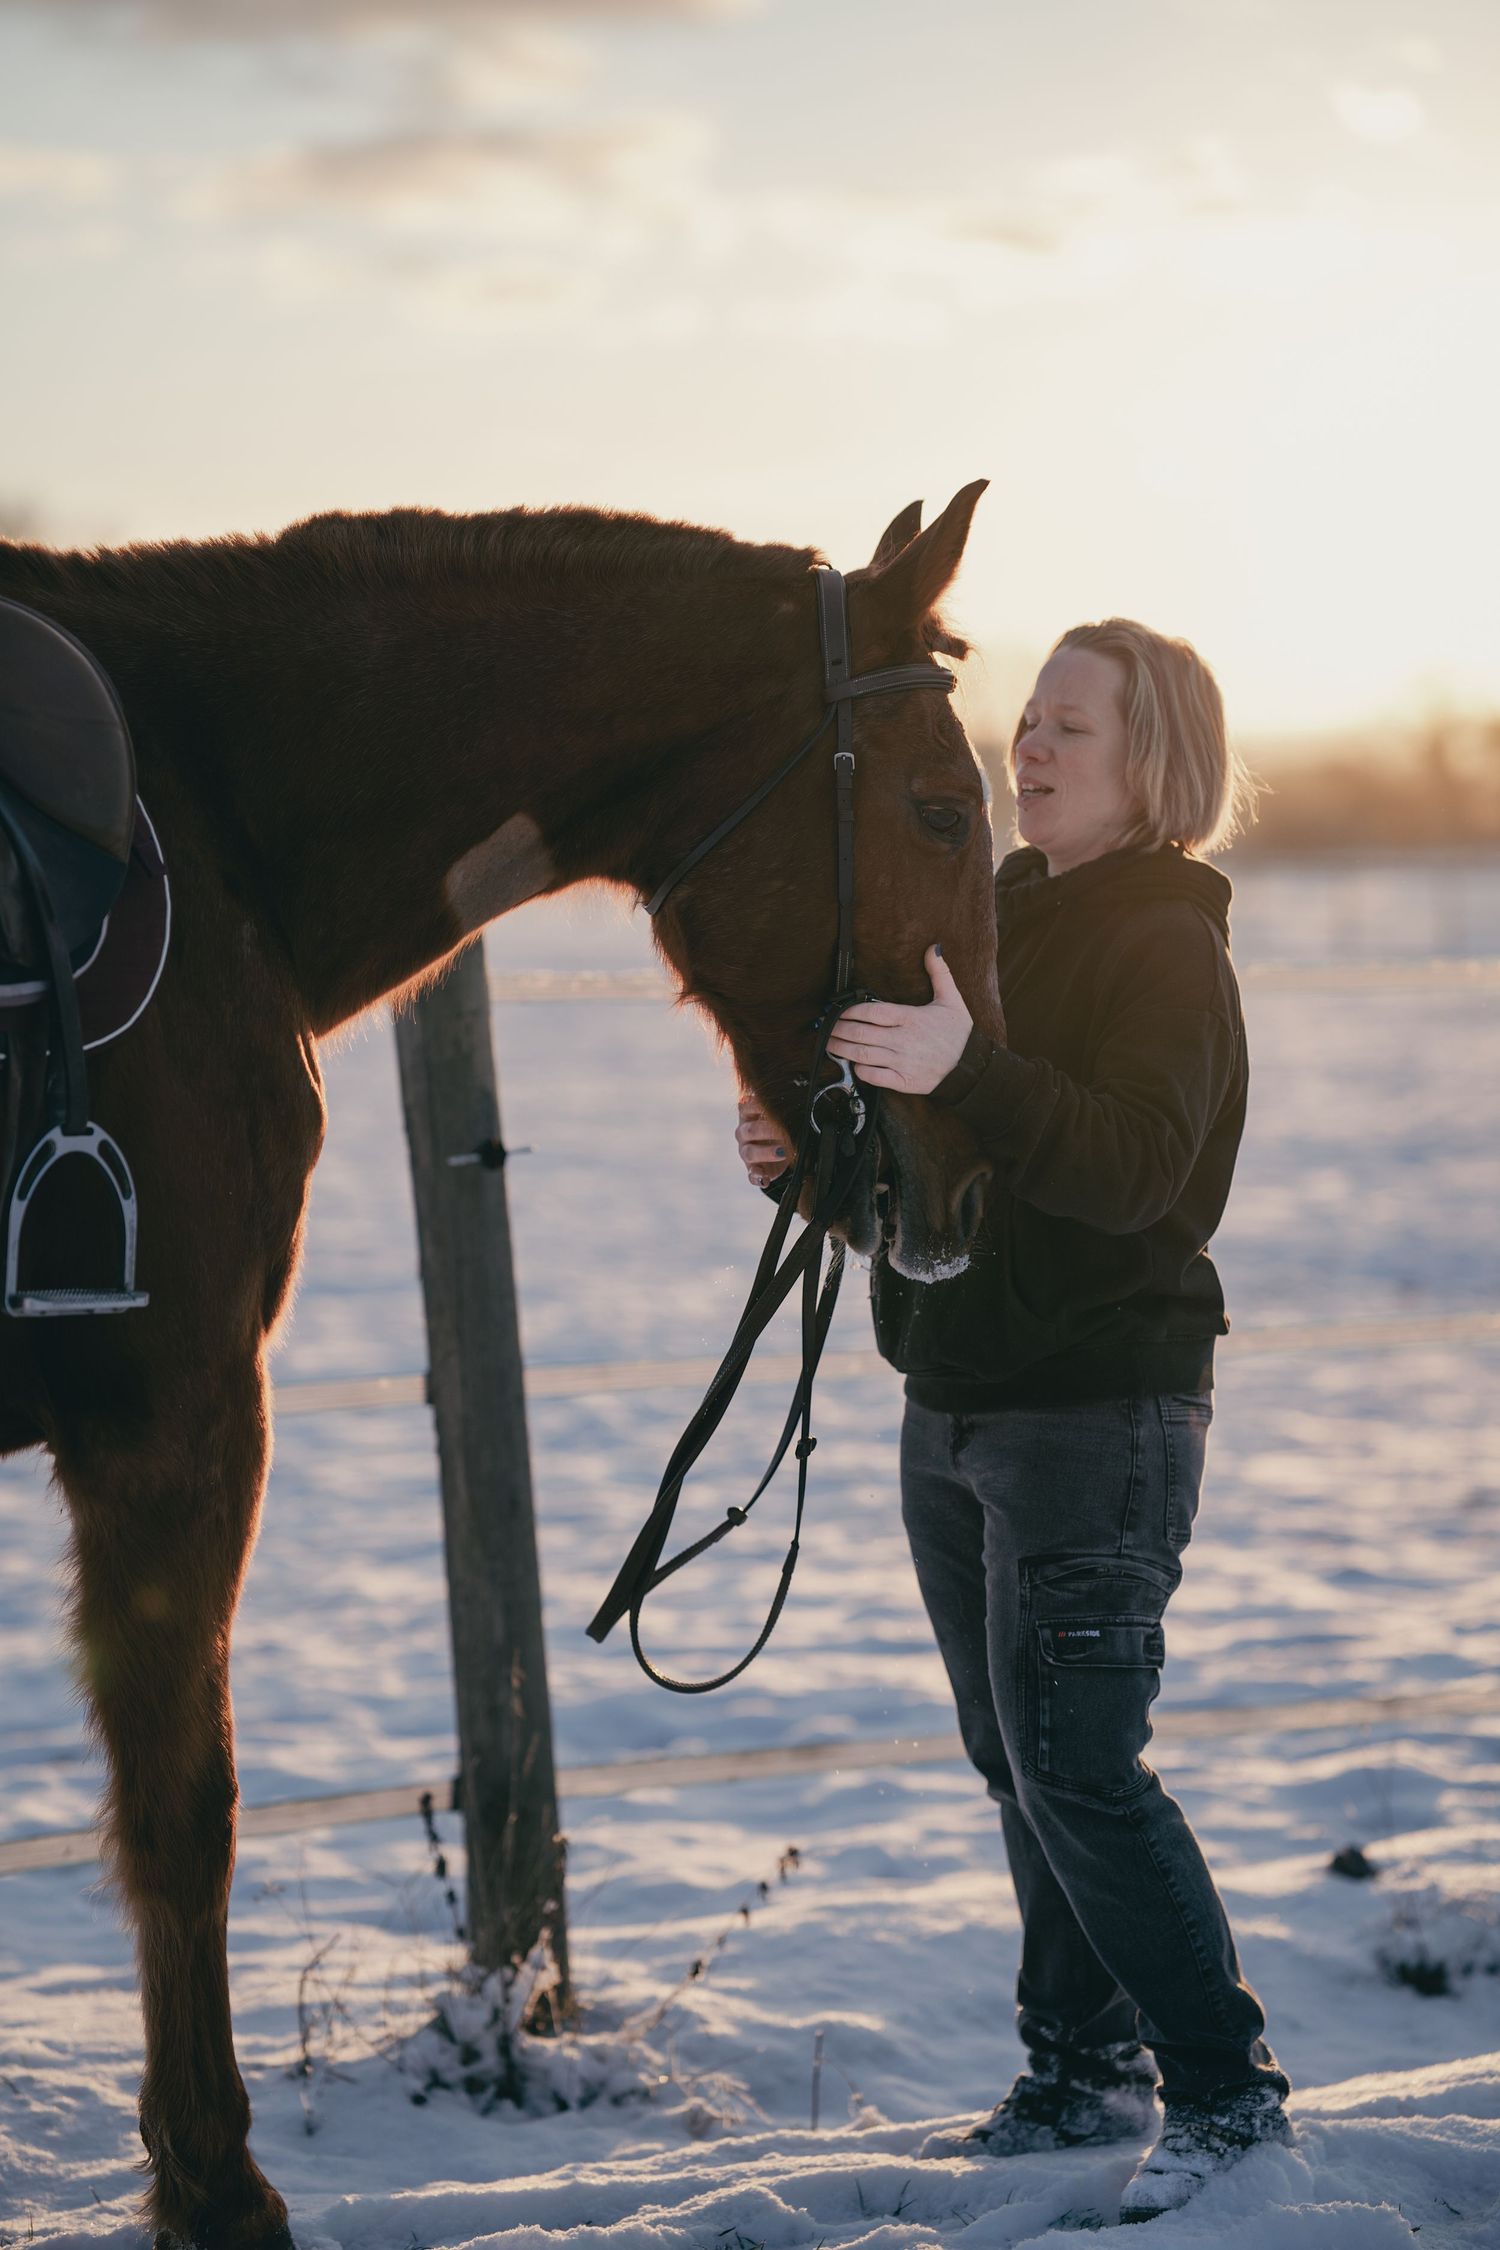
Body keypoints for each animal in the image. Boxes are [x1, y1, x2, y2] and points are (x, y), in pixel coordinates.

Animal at [0, 480, 1001, 2248]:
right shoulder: (182, 1418)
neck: (210, 811)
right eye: (945, 812)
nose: (968, 1183)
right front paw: (214, 2184)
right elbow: (183, 1808)